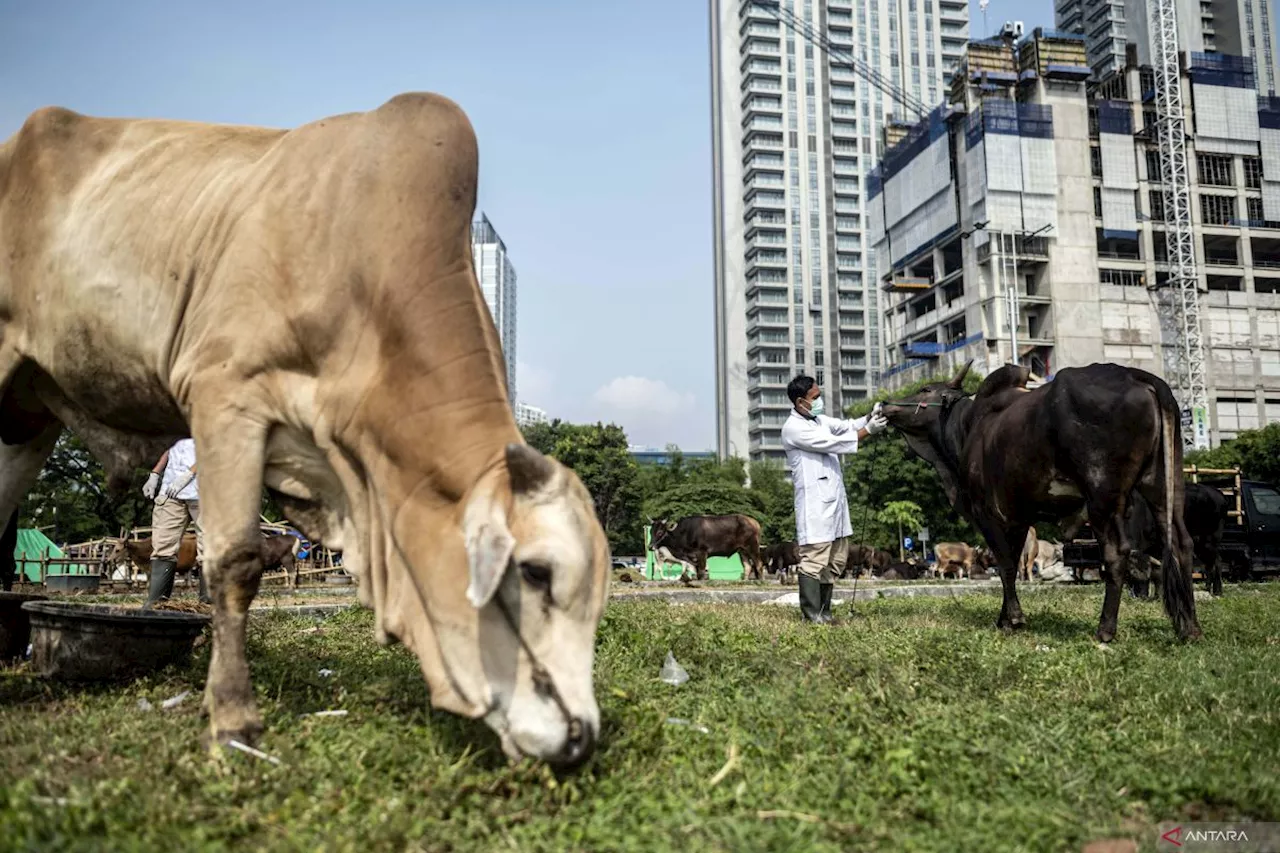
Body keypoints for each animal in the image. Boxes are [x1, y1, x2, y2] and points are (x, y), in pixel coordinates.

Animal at [1, 92, 609, 763]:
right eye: (535, 572)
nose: (581, 736)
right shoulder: (225, 396)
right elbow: (234, 563)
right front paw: (232, 719)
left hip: (28, 413)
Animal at [885, 361, 1203, 640]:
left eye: (925, 389)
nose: (886, 404)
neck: (966, 425)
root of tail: (1137, 376)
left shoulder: (988, 512)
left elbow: (1006, 565)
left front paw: (1013, 618)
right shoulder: (1018, 516)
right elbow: (1013, 564)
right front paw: (1005, 619)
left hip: (1103, 496)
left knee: (1117, 552)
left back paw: (1105, 630)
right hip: (1163, 485)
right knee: (1181, 544)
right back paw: (1190, 629)